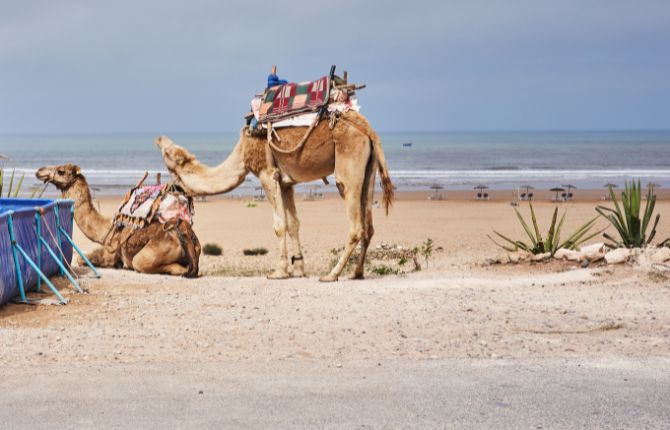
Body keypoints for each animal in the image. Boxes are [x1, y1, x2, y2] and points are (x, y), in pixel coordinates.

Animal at [157, 109, 394, 280]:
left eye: (168, 153)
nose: (159, 138)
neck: (242, 155)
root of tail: (369, 132)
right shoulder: (287, 183)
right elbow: (293, 224)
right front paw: (298, 269)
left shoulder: (267, 175)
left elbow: (279, 225)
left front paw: (279, 272)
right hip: (369, 170)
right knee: (369, 226)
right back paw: (356, 273)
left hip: (349, 163)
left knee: (355, 224)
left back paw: (332, 274)